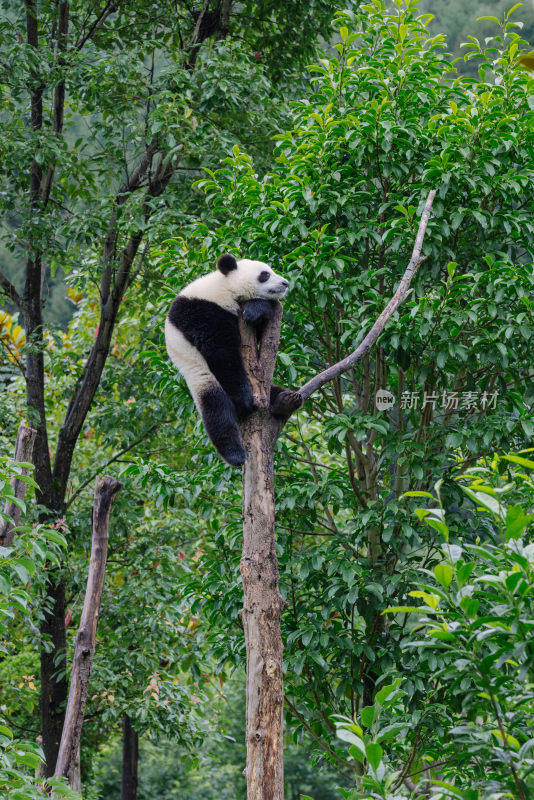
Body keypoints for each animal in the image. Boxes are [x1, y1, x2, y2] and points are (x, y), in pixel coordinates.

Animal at [165, 253, 304, 466]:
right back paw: (235, 454)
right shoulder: (201, 311)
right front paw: (245, 399)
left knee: (270, 391)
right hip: (199, 374)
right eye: (264, 274)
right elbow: (220, 352)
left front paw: (255, 310)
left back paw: (286, 400)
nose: (285, 283)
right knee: (217, 410)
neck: (224, 286)